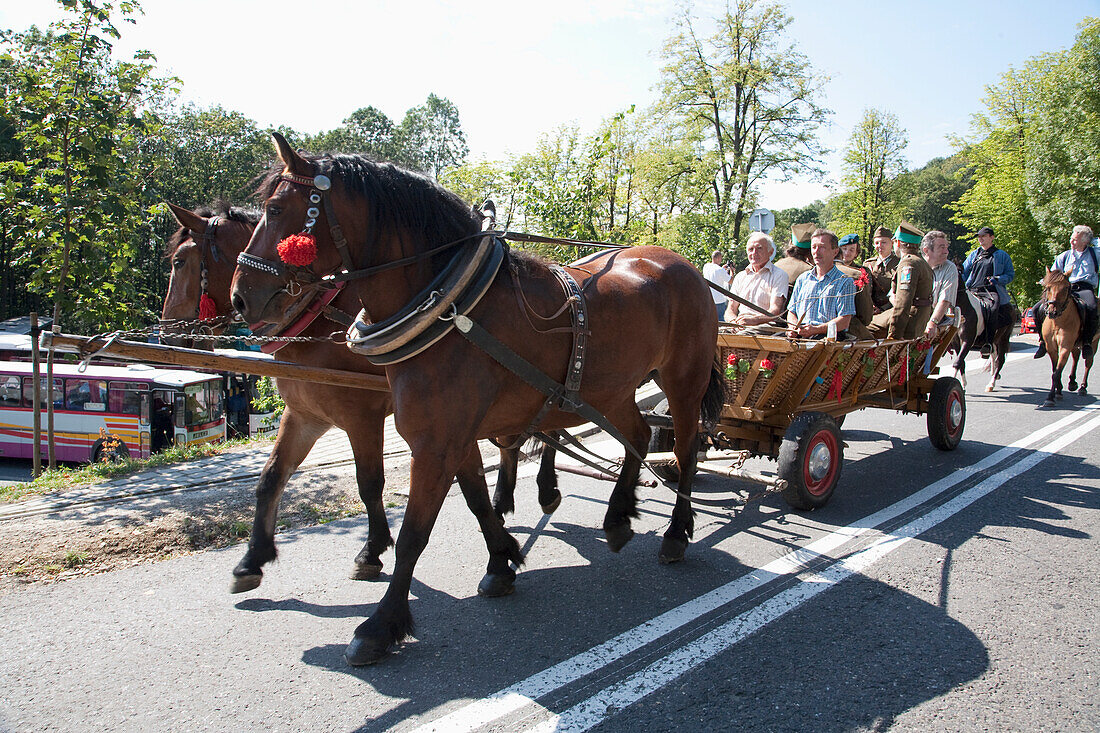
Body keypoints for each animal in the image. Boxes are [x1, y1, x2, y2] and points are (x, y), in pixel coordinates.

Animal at [232, 134, 721, 664]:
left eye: (275, 209)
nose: (240, 299)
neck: (450, 308)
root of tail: (680, 262)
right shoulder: (445, 434)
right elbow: (474, 500)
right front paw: (502, 560)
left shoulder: (432, 440)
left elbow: (413, 533)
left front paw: (381, 624)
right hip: (611, 389)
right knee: (637, 434)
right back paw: (616, 518)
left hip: (683, 380)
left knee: (685, 449)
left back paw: (675, 532)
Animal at [1034, 268, 1095, 405]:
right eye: (1048, 287)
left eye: (1066, 288)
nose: (1052, 311)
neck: (1058, 322)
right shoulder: (1051, 347)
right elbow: (1055, 369)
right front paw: (1058, 390)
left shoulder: (1065, 346)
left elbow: (1056, 372)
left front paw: (1050, 397)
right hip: (1074, 345)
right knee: (1076, 357)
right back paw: (1072, 382)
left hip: (1094, 342)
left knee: (1088, 363)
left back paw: (1082, 387)